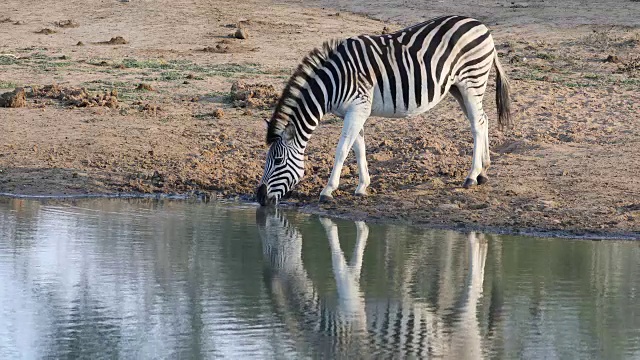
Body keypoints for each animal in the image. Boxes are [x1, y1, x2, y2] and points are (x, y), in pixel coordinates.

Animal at [255, 14, 510, 205]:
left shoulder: (358, 107)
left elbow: (342, 149)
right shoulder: (355, 111)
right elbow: (358, 148)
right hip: (458, 87)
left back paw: (471, 177)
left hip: (472, 82)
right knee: (483, 120)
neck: (333, 83)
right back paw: (483, 172)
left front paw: (328, 190)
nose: (259, 197)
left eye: (278, 161)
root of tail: (481, 25)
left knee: (477, 124)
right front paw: (362, 187)